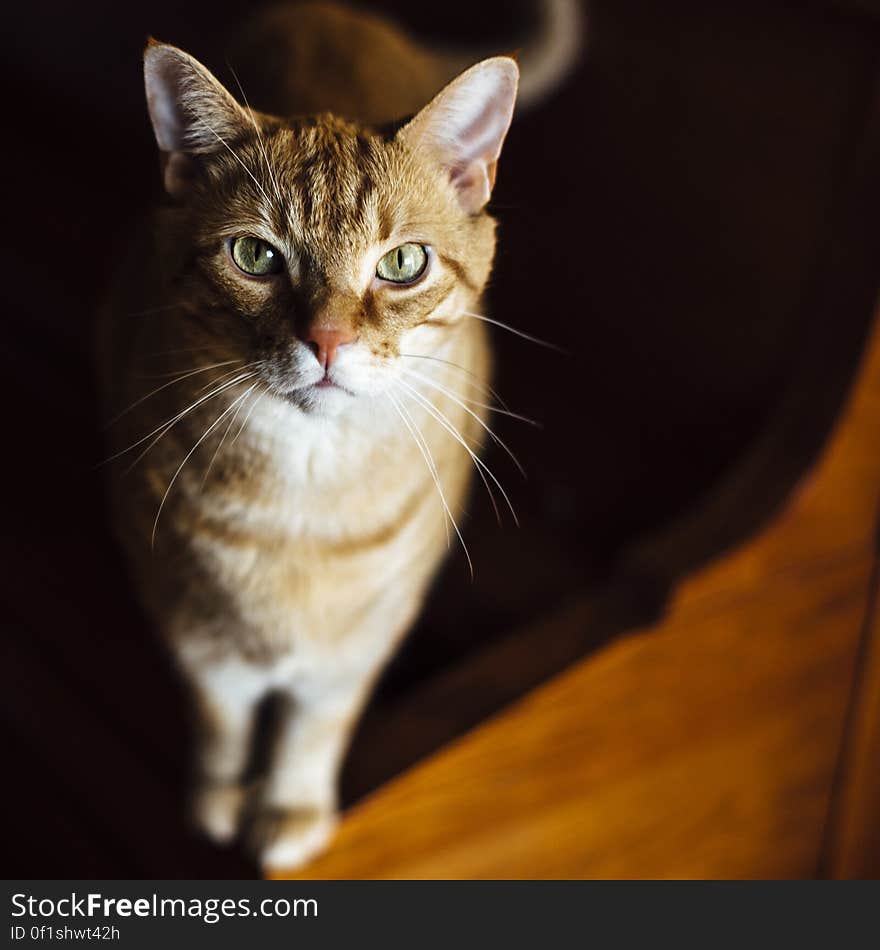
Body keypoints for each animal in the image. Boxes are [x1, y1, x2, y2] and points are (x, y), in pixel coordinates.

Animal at [98, 0, 576, 872]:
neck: (303, 495)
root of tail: (335, 11)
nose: (326, 341)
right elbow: (221, 718)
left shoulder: (364, 638)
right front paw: (219, 801)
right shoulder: (189, 626)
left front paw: (288, 806)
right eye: (255, 255)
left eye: (404, 263)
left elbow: (316, 724)